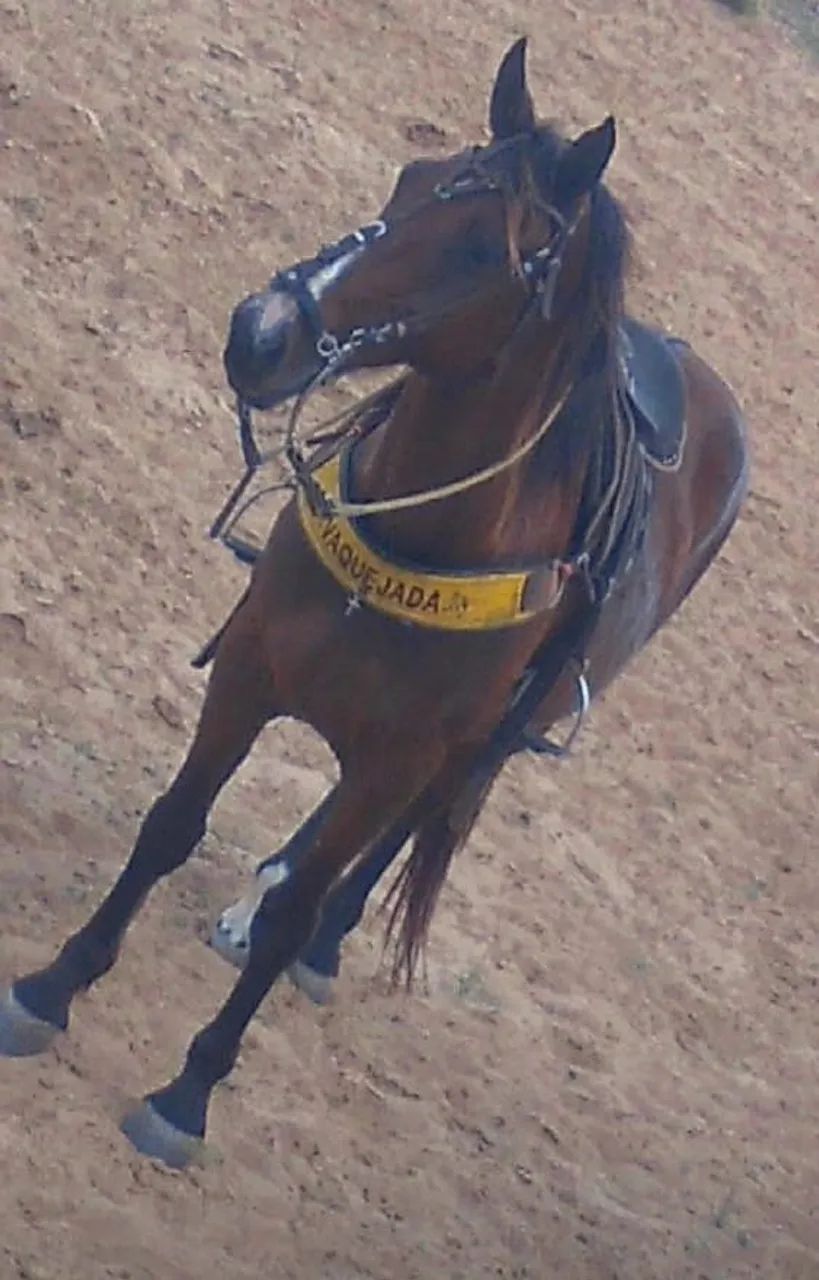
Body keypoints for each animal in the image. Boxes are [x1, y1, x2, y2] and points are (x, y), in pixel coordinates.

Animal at [0, 38, 749, 1170]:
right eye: (409, 180)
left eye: (483, 247)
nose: (261, 332)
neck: (432, 537)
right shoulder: (253, 665)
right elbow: (171, 824)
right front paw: (50, 987)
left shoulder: (406, 751)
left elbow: (313, 892)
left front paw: (188, 1092)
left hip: (485, 742)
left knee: (409, 830)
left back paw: (321, 937)